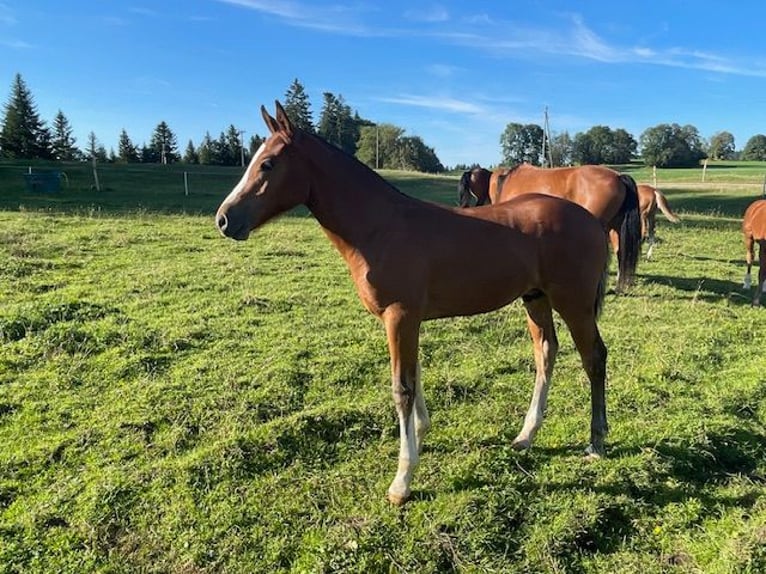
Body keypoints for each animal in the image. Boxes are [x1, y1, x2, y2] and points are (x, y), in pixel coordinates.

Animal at [216, 103, 612, 508]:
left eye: (268, 164)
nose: (224, 219)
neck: (380, 227)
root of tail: (591, 221)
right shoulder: (406, 321)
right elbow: (415, 375)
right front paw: (421, 434)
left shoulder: (400, 316)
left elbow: (401, 388)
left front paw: (402, 481)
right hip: (536, 298)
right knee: (546, 352)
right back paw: (526, 436)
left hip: (574, 302)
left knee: (594, 357)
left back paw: (596, 442)